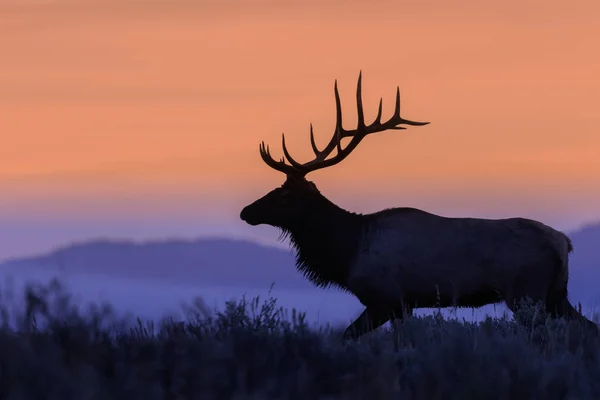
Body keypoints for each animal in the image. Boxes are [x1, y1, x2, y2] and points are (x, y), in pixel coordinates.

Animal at [238, 72, 596, 340]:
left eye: (285, 193)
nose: (245, 212)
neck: (347, 251)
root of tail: (564, 243)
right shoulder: (401, 304)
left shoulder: (387, 299)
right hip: (555, 294)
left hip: (526, 293)